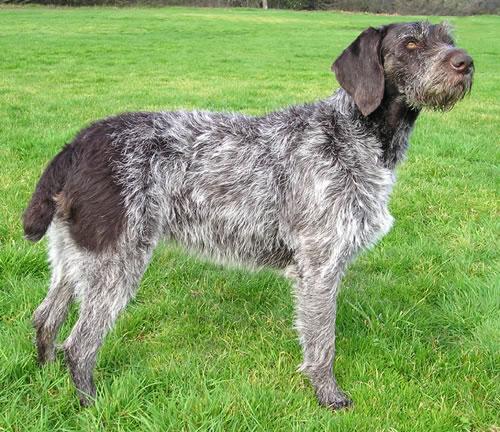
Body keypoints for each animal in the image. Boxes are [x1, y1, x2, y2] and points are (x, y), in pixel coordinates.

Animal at [22, 21, 472, 408]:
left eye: (448, 39)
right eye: (410, 44)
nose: (465, 62)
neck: (353, 133)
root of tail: (79, 143)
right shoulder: (319, 266)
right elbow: (322, 343)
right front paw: (328, 396)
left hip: (76, 255)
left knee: (45, 319)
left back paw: (44, 378)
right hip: (116, 261)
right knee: (79, 345)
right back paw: (90, 404)